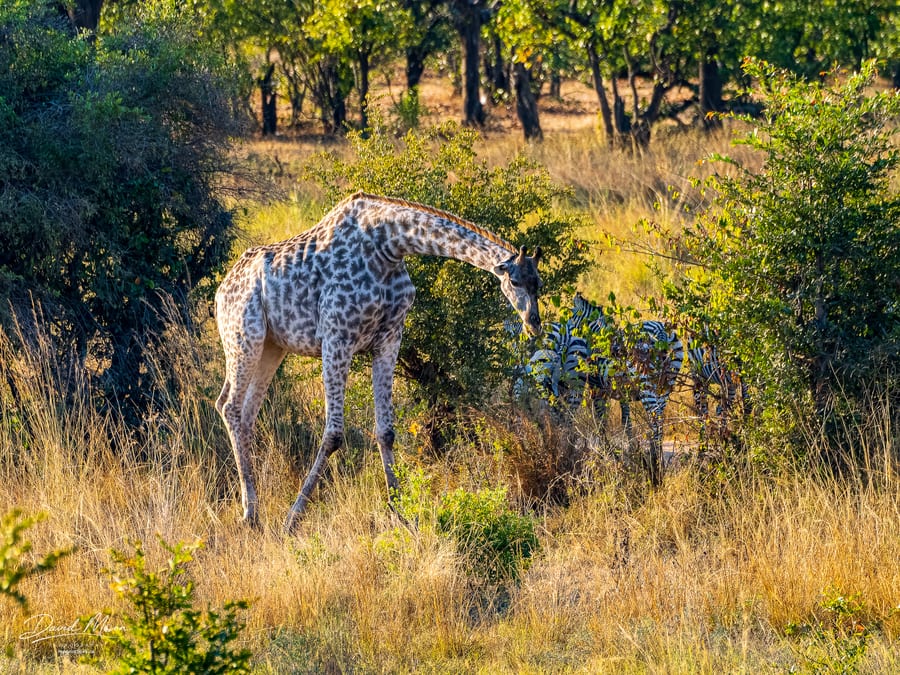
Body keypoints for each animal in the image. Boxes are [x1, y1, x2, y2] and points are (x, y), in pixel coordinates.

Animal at [214, 191, 542, 533]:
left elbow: (386, 431)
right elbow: (333, 434)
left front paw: (403, 514)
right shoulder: (337, 338)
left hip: (272, 347)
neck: (388, 248)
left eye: (540, 284)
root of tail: (221, 290)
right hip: (243, 337)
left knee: (244, 412)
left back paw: (254, 509)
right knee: (230, 406)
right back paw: (250, 514)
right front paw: (293, 518)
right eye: (515, 282)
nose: (534, 323)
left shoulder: (389, 340)